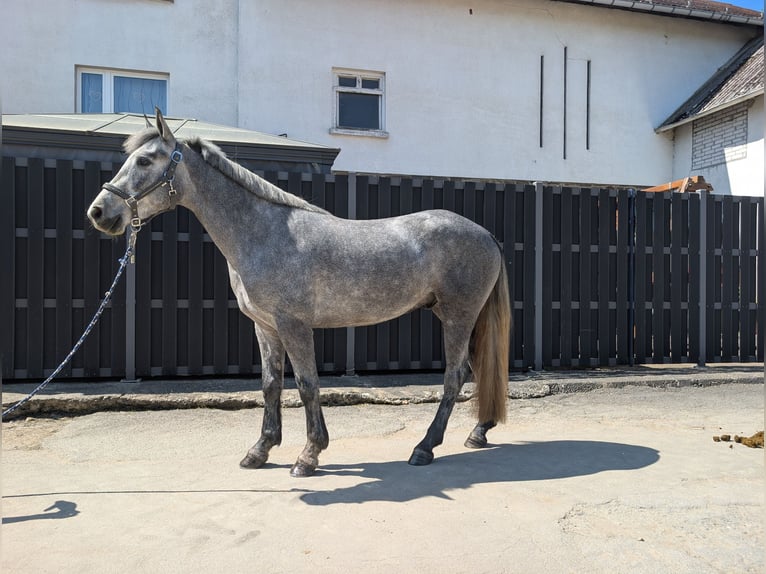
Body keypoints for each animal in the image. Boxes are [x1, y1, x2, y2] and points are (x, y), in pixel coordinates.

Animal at [87, 109, 511, 477]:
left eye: (145, 161)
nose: (99, 212)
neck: (264, 233)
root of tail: (486, 234)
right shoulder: (265, 327)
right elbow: (270, 385)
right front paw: (260, 450)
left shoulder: (294, 326)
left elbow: (307, 385)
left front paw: (309, 456)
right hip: (455, 315)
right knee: (475, 370)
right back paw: (478, 432)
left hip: (458, 316)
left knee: (454, 375)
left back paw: (424, 447)